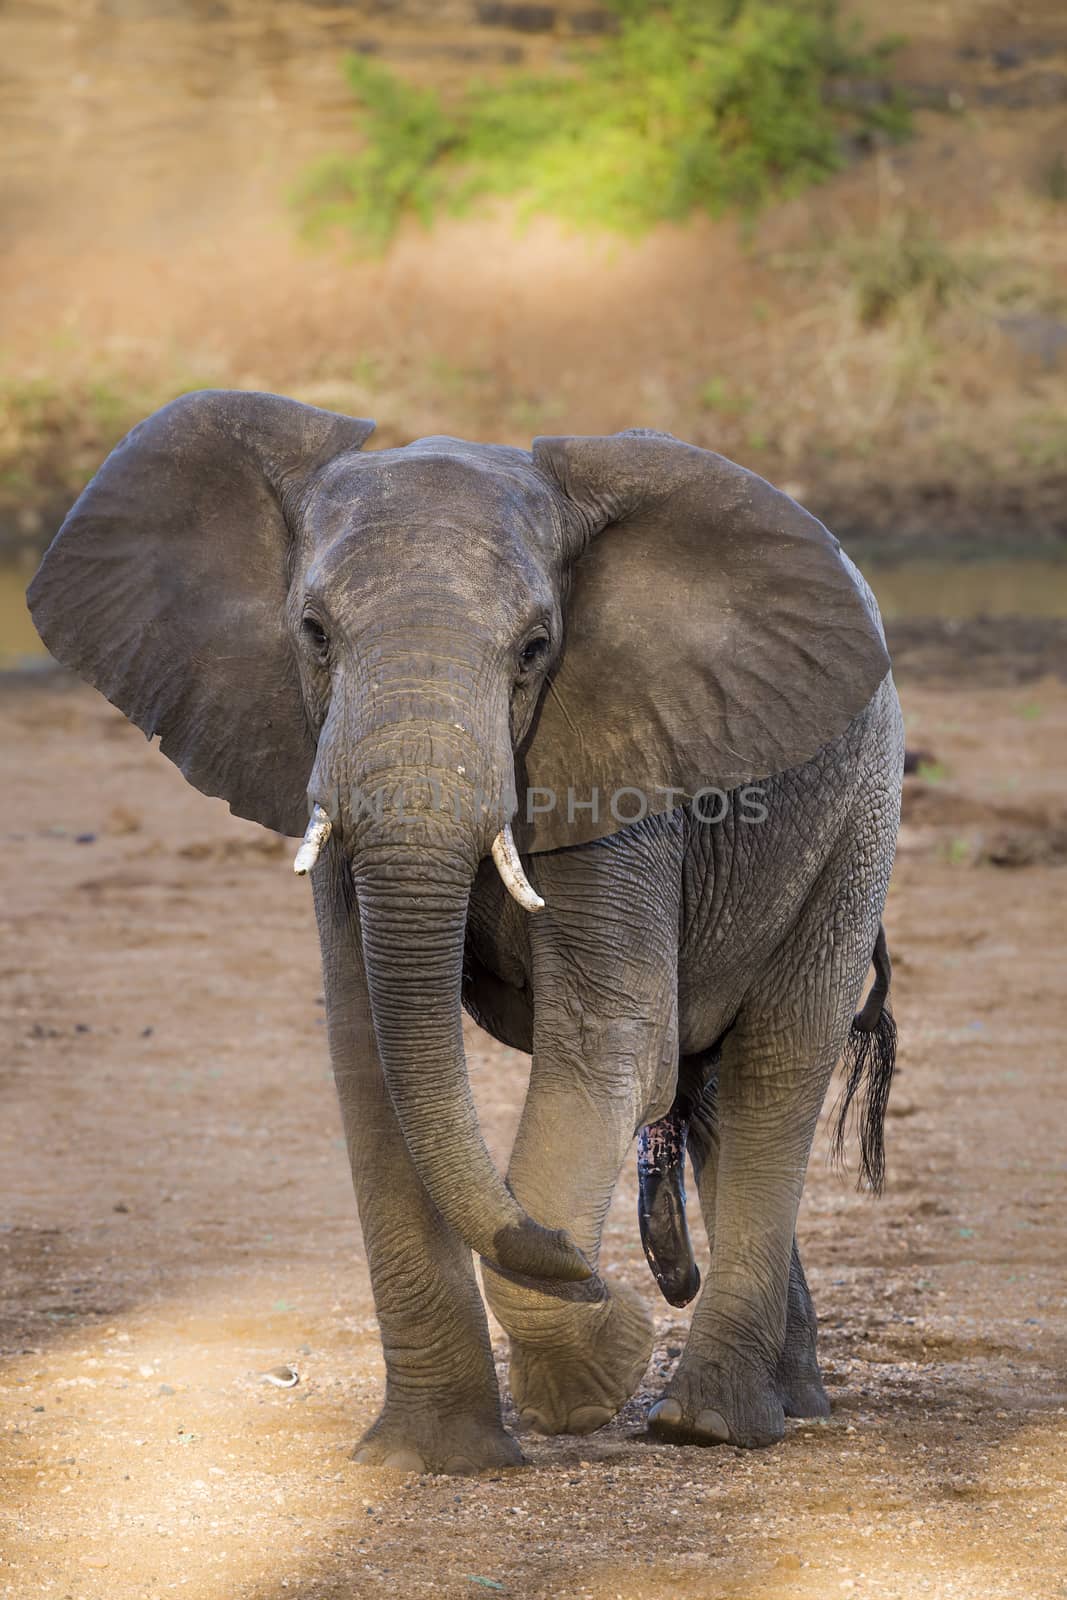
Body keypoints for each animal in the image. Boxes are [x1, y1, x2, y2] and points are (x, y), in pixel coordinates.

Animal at [27, 387, 902, 1472]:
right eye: (313, 632)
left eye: (534, 649)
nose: (604, 1272)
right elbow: (370, 1055)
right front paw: (430, 1457)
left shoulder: (624, 778)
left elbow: (607, 1046)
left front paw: (589, 1368)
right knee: (713, 1102)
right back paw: (781, 1401)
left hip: (858, 820)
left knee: (775, 1064)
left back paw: (709, 1425)